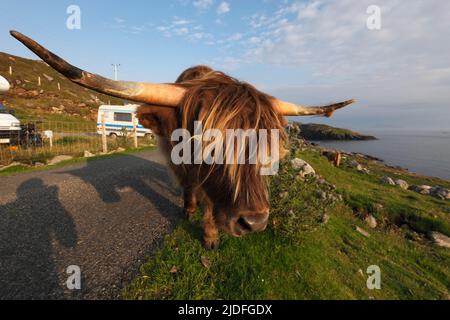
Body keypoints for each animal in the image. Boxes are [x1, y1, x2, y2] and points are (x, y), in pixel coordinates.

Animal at [11, 30, 356, 249]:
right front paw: (191, 212)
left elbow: (210, 202)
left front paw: (210, 235)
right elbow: (192, 186)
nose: (255, 223)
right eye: (208, 143)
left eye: (270, 145)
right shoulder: (180, 161)